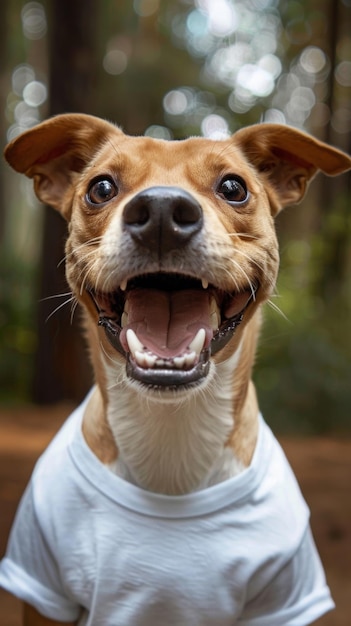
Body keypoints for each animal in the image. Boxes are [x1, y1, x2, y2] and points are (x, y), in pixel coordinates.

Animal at [0, 113, 350, 624]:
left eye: (233, 187)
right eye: (101, 188)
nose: (162, 211)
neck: (170, 432)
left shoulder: (285, 592)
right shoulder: (41, 578)